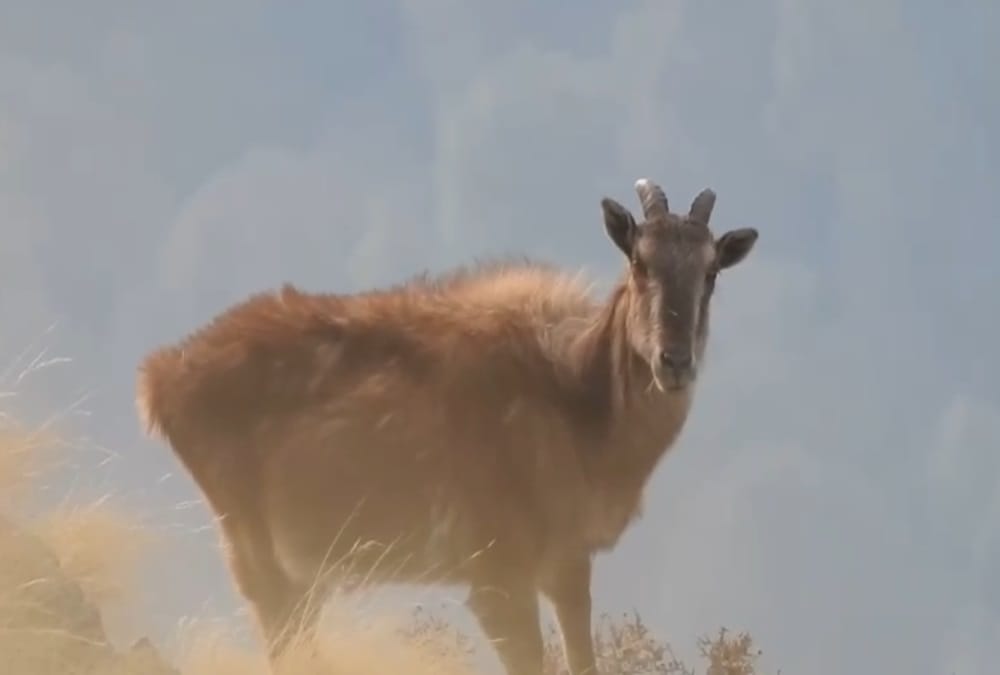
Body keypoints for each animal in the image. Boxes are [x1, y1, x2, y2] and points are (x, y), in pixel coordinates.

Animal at [135, 177, 758, 675]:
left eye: (710, 271)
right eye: (639, 260)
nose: (674, 361)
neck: (581, 409)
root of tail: (157, 380)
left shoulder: (566, 560)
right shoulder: (494, 565)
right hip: (255, 549)